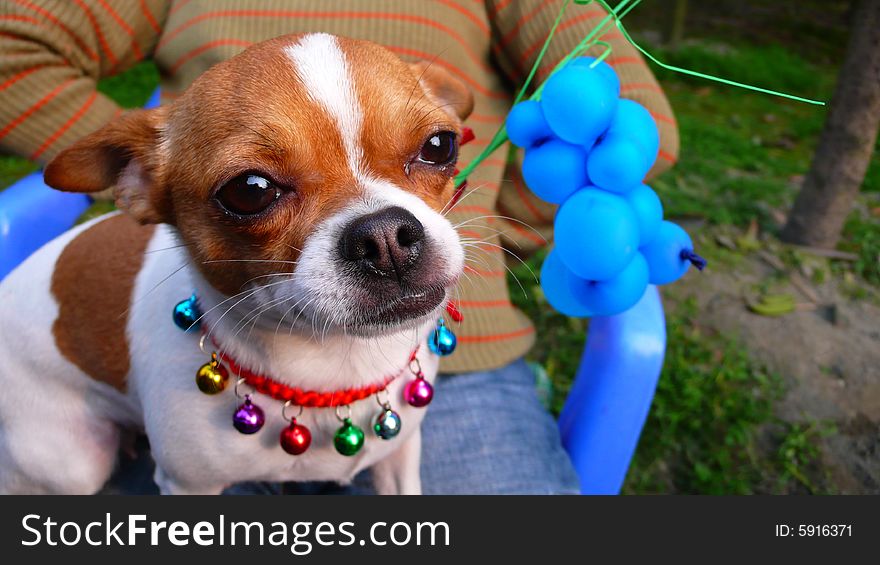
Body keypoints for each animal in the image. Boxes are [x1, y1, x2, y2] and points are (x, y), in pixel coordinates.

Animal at [0, 34, 474, 494]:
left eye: (440, 145)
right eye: (250, 190)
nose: (385, 236)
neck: (335, 367)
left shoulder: (400, 456)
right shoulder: (188, 487)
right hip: (72, 464)